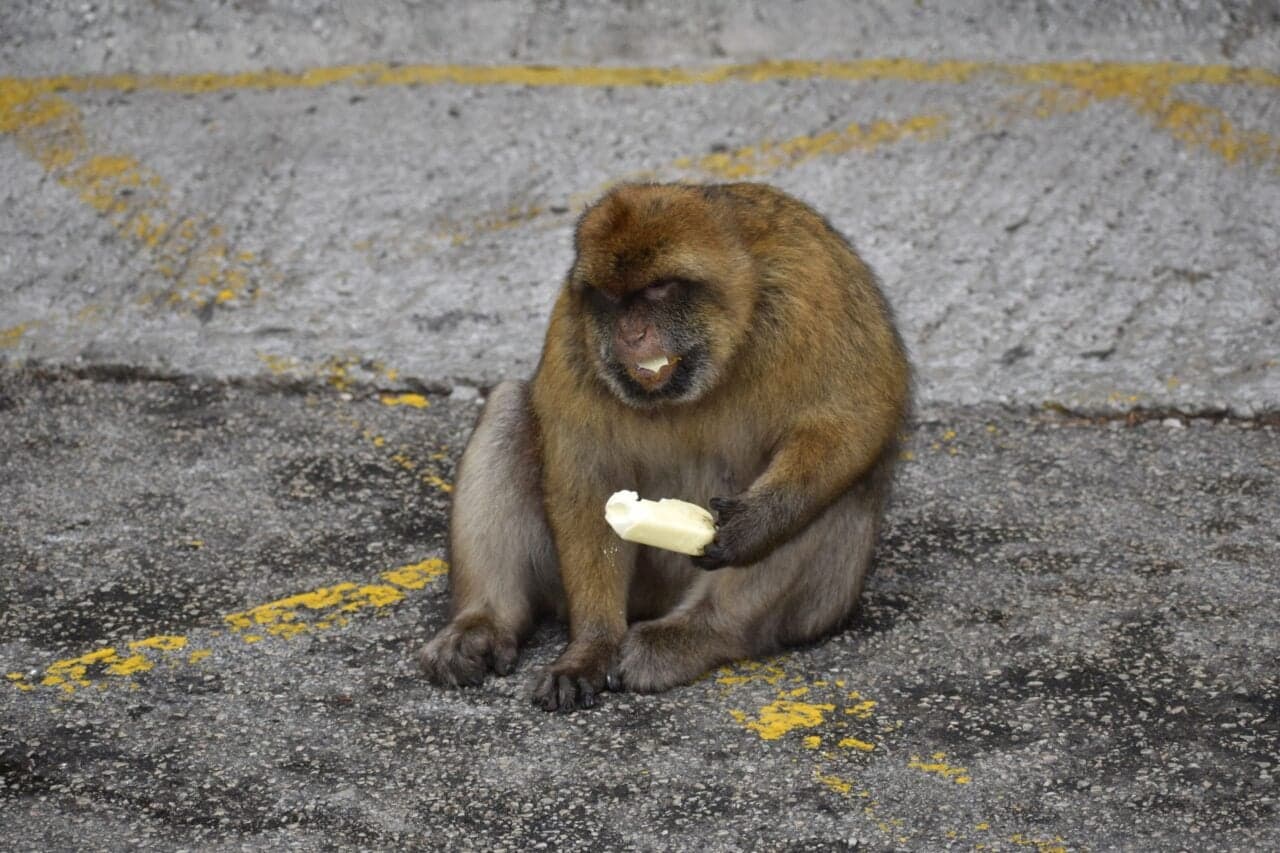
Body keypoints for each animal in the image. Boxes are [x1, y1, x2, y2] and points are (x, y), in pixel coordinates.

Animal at [418, 182, 910, 712]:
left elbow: (853, 419)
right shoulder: (573, 332)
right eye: (612, 299)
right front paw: (591, 645)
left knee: (840, 484)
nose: (631, 334)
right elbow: (589, 482)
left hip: (825, 601)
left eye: (657, 290)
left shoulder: (813, 291)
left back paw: (697, 634)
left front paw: (754, 524)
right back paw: (484, 622)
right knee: (508, 405)